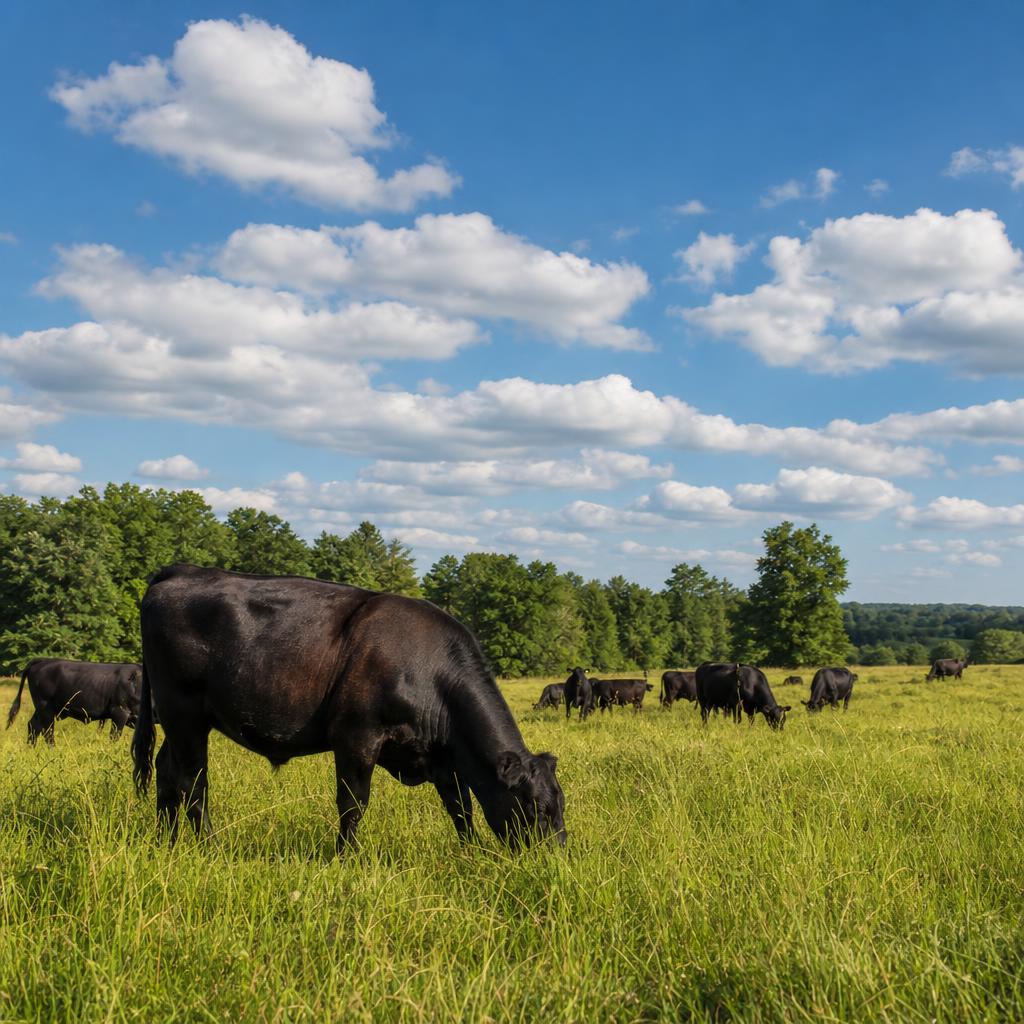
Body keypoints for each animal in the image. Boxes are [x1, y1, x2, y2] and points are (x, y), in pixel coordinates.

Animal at [6, 659, 142, 745]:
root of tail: (43, 660)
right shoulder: (120, 712)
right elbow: (114, 737)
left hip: (42, 709)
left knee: (33, 726)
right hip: (45, 707)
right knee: (47, 731)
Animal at [133, 565, 566, 853]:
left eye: (560, 805)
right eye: (538, 808)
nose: (556, 859)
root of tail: (183, 571)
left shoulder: (444, 756)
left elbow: (460, 807)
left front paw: (471, 851)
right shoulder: (357, 737)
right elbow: (353, 803)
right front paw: (347, 856)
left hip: (179, 720)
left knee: (166, 771)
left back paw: (166, 840)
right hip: (183, 711)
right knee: (193, 782)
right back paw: (208, 844)